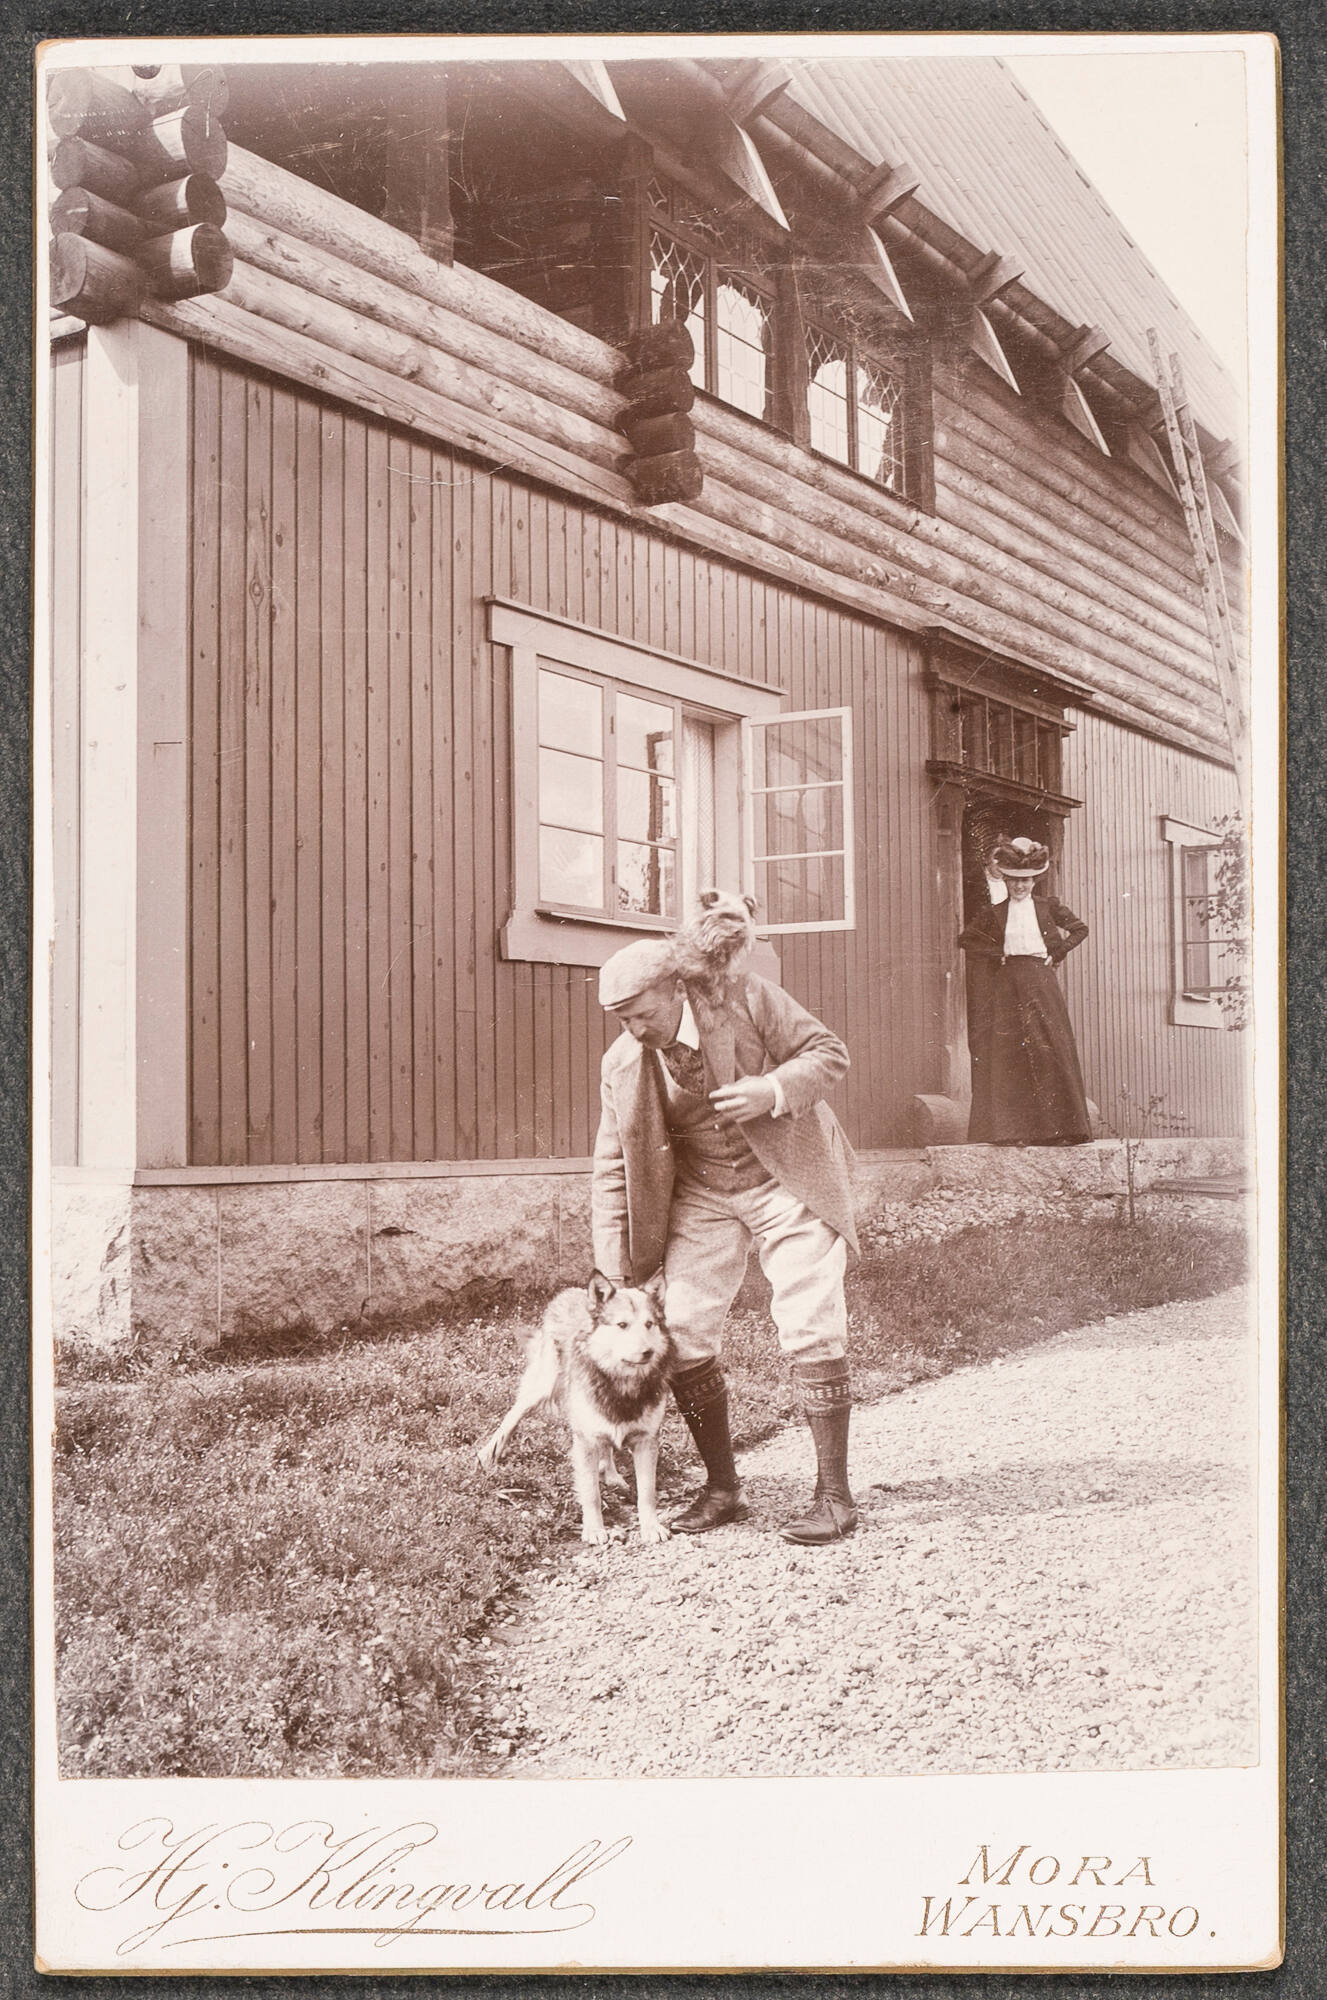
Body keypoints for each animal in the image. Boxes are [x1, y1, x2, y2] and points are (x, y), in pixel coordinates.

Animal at [477, 1280, 675, 1544]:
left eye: (649, 1324)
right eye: (622, 1325)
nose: (647, 1352)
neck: (622, 1385)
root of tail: (569, 1291)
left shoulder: (646, 1441)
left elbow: (647, 1492)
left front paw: (651, 1526)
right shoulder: (585, 1441)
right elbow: (591, 1493)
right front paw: (594, 1530)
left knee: (607, 1448)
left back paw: (612, 1476)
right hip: (542, 1386)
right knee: (512, 1415)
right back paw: (489, 1452)